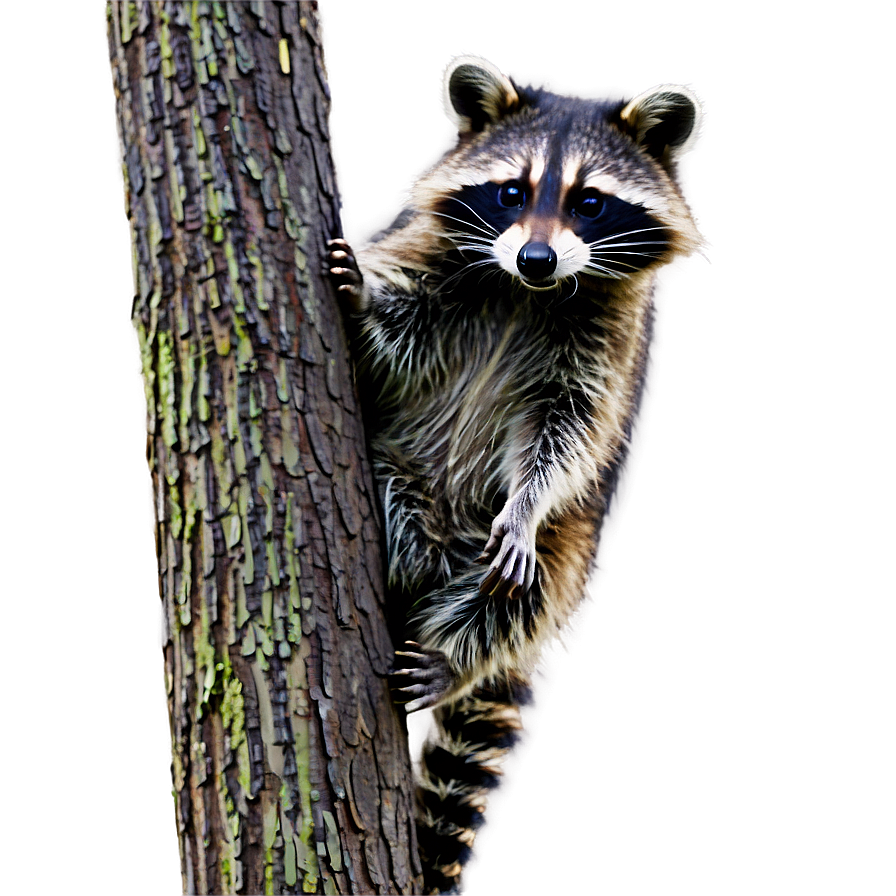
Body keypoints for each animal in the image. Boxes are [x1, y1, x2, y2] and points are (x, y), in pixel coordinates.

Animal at [329, 56, 703, 893]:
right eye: (511, 192)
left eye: (589, 202)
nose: (537, 258)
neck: (526, 292)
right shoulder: (435, 259)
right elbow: (398, 341)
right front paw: (369, 295)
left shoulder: (608, 345)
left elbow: (567, 437)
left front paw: (527, 505)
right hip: (403, 480)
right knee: (394, 497)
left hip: (570, 546)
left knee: (527, 595)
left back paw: (454, 654)